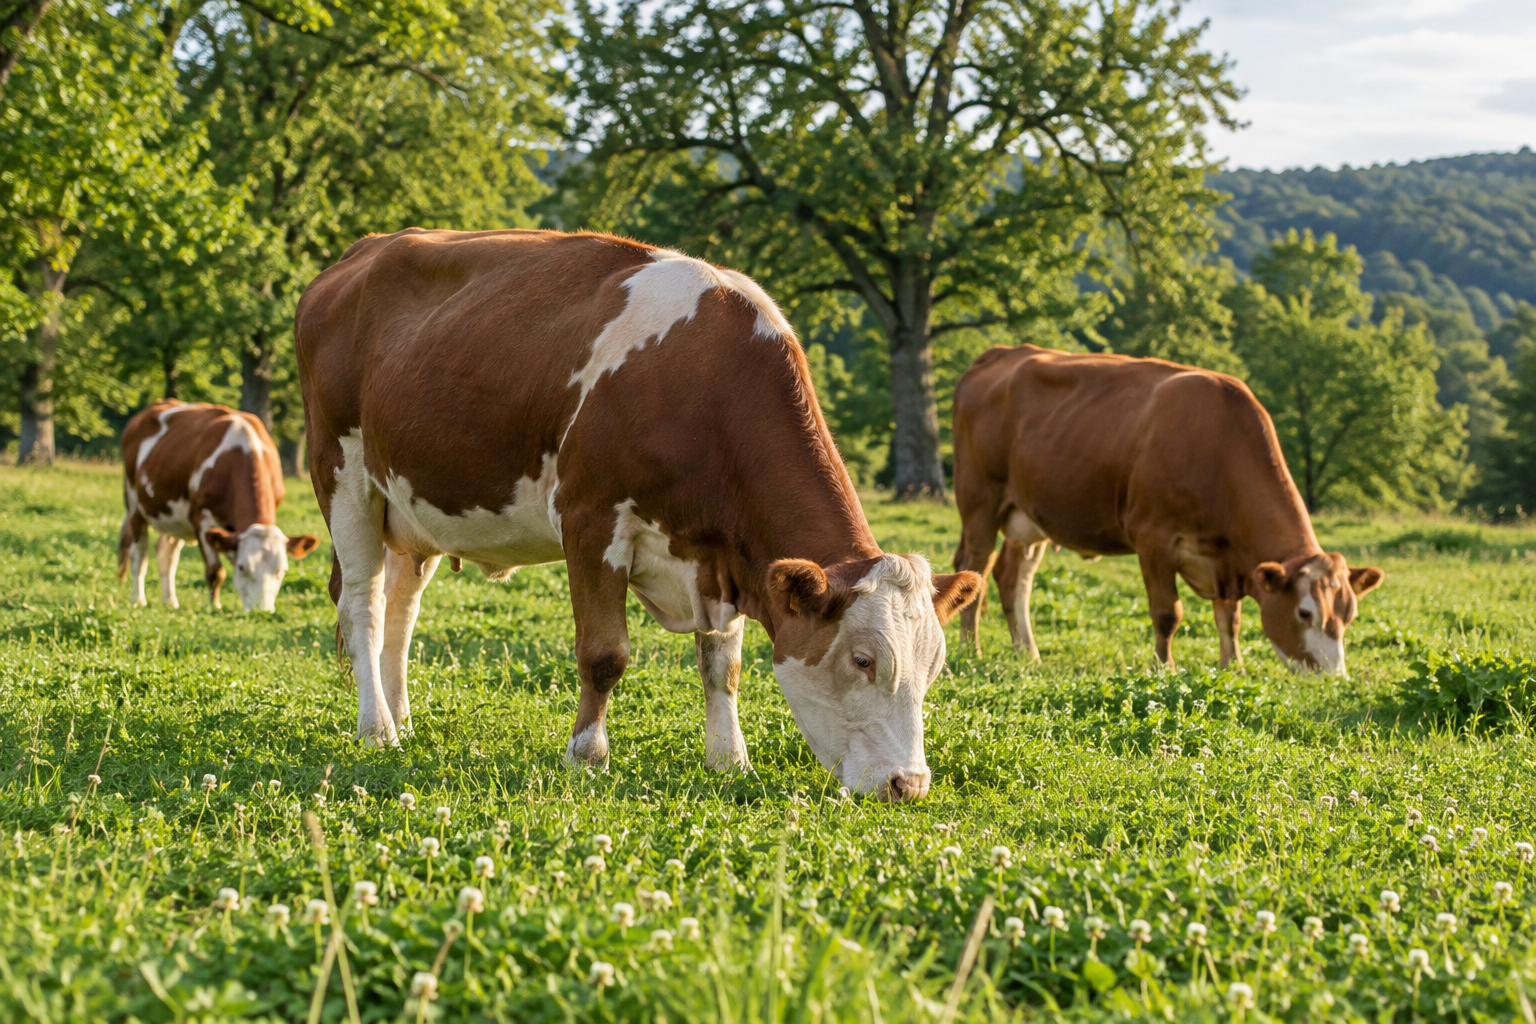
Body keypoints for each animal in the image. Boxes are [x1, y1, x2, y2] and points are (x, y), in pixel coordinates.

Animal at [118, 401, 320, 611]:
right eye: (242, 567)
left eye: (281, 570)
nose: (261, 610)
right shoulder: (201, 519)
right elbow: (216, 570)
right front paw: (214, 606)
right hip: (134, 504)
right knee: (138, 555)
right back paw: (138, 599)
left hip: (174, 516)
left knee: (167, 554)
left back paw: (170, 601)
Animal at [294, 228, 982, 800]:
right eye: (864, 659)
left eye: (936, 666)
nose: (909, 785)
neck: (704, 386)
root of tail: (361, 253)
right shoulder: (591, 517)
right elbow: (605, 653)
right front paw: (587, 755)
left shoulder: (724, 556)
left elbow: (723, 665)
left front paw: (729, 760)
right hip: (343, 474)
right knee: (363, 605)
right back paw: (377, 728)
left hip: (411, 510)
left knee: (401, 611)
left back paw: (402, 719)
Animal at [951, 345, 1384, 674]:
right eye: (1305, 613)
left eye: (1349, 614)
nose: (1334, 677)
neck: (1218, 448)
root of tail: (1002, 352)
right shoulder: (1153, 539)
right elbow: (1167, 613)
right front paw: (1166, 668)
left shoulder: (1227, 558)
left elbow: (1230, 618)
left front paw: (1233, 667)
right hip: (980, 503)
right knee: (975, 569)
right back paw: (971, 651)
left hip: (1028, 516)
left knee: (1013, 577)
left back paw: (1028, 653)